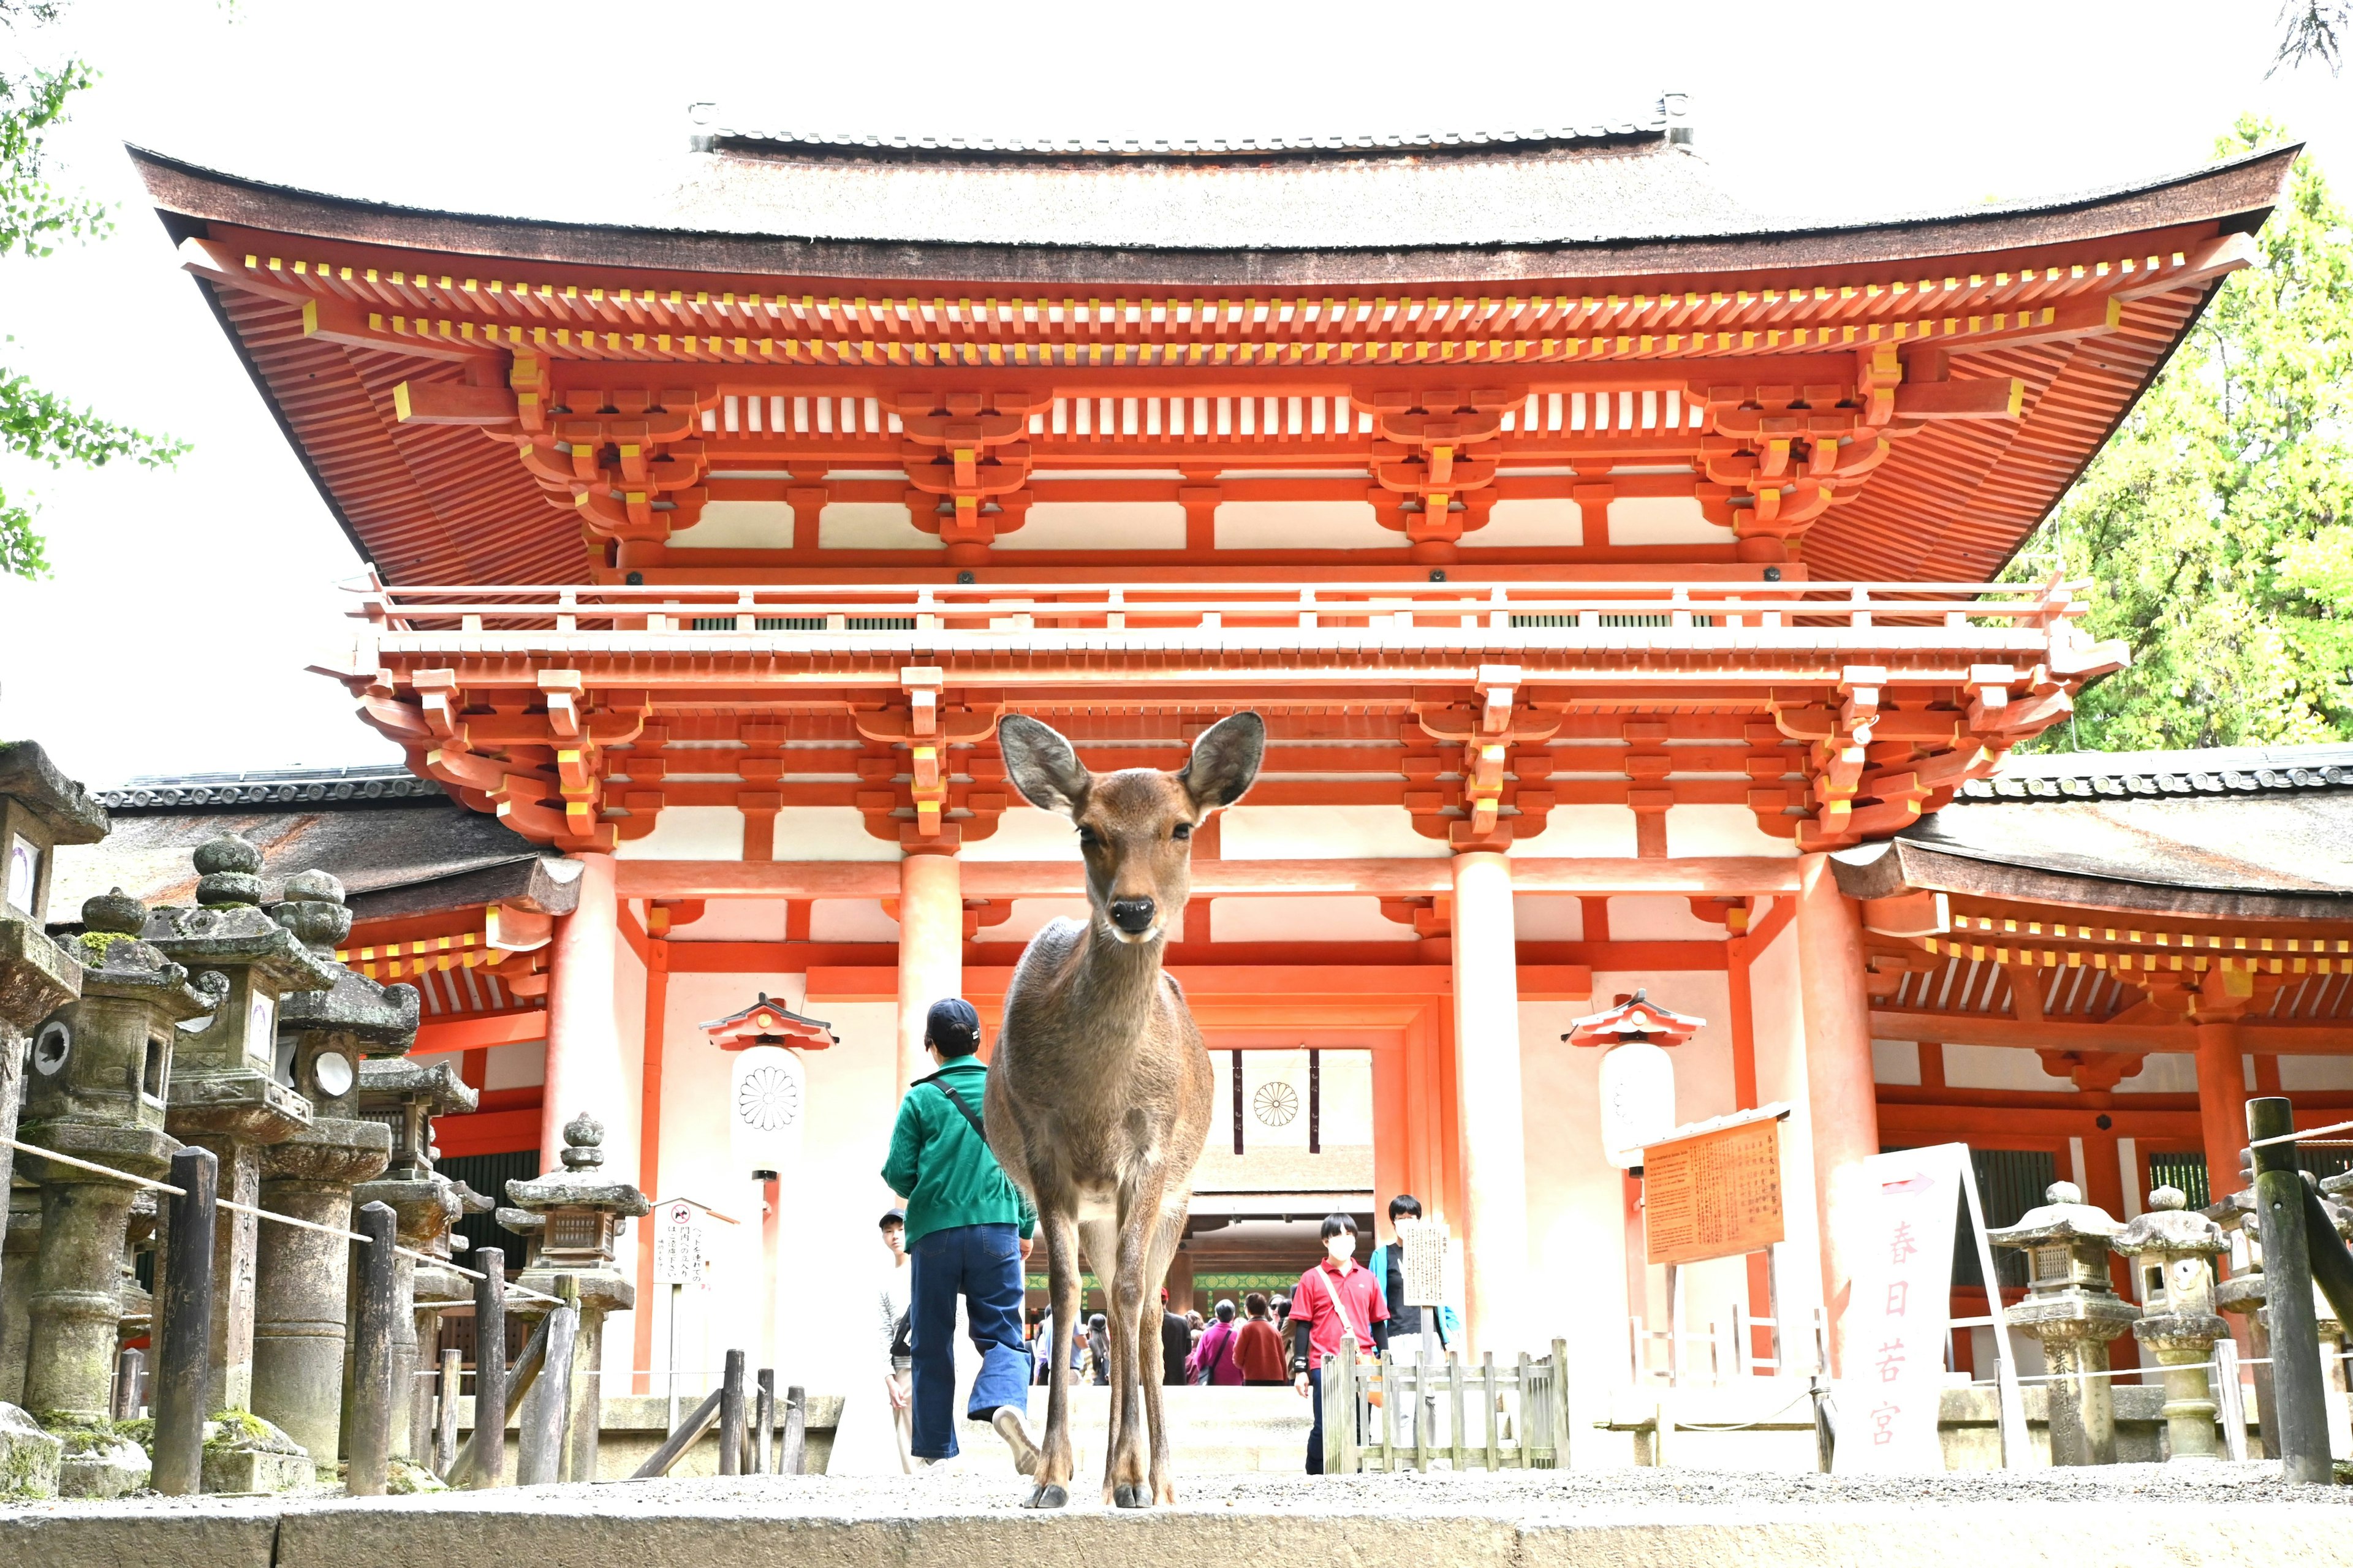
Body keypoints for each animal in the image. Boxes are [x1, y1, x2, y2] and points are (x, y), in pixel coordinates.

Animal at [979, 706, 1270, 1507]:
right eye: (1089, 830)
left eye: (1182, 827)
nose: (1133, 909)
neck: (1098, 1099)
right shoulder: (1044, 1147)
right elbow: (1065, 1295)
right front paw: (1052, 1475)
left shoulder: (1152, 1149)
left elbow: (1142, 1299)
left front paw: (1134, 1473)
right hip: (1100, 1211)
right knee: (1112, 1299)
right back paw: (1113, 1473)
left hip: (1177, 1198)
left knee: (1141, 1314)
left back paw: (1152, 1477)